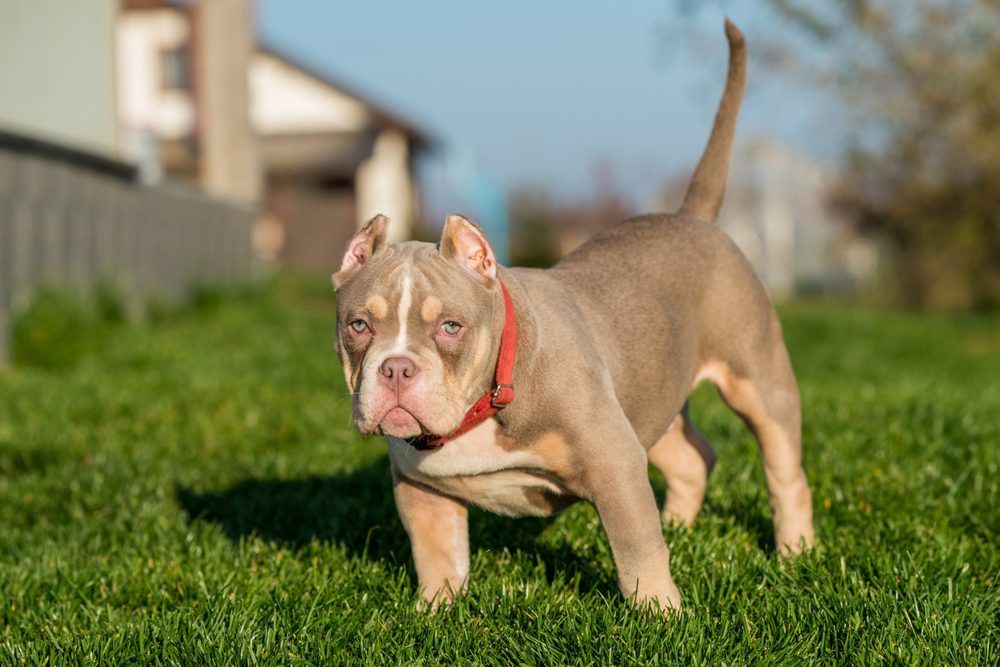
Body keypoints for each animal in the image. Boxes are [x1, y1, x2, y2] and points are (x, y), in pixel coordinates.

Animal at [332, 19, 816, 616]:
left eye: (450, 327)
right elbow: (436, 553)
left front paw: (660, 615)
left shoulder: (613, 460)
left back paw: (795, 552)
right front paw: (434, 610)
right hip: (648, 396)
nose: (396, 367)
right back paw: (683, 529)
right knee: (691, 457)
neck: (484, 400)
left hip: (757, 379)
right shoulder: (419, 488)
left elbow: (637, 548)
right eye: (358, 326)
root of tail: (692, 218)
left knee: (784, 470)